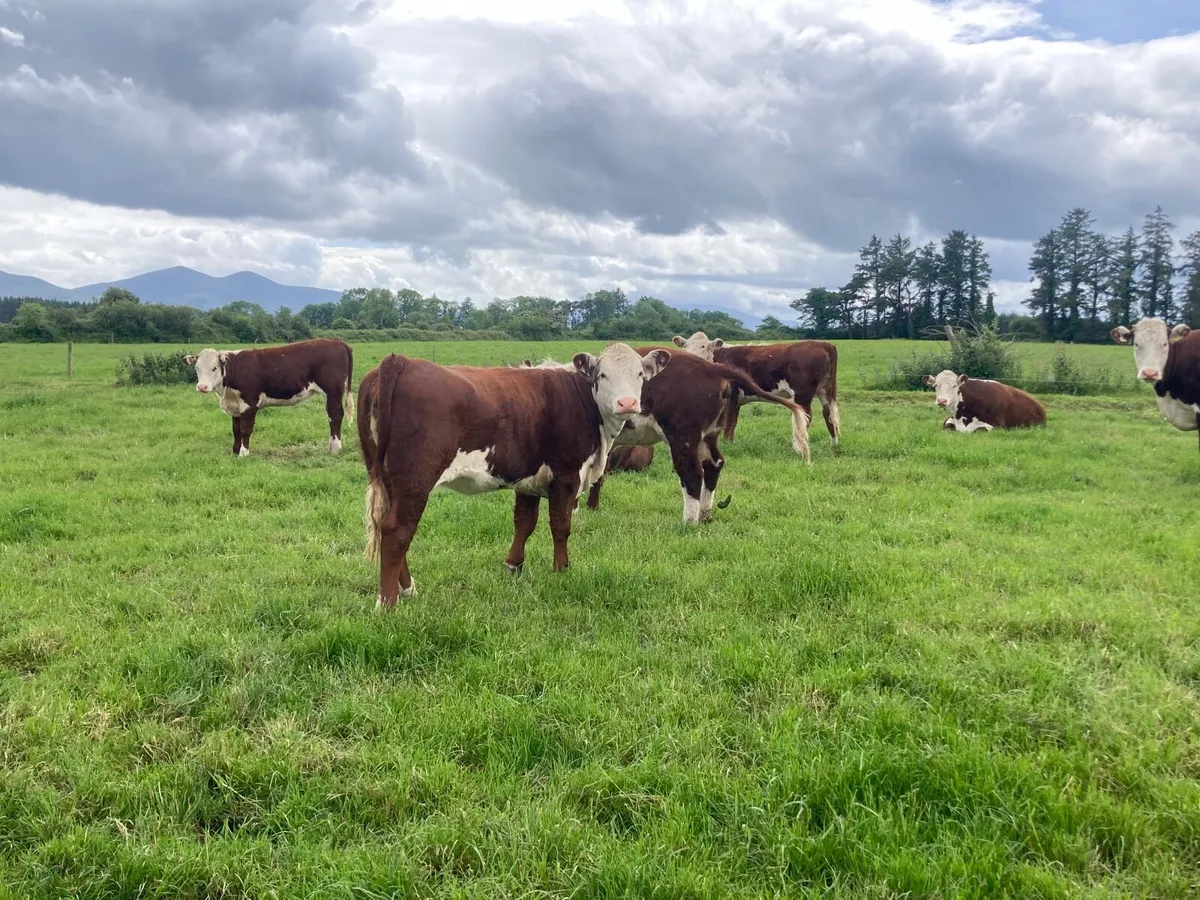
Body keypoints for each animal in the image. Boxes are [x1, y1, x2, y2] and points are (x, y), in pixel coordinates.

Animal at [185, 338, 354, 456]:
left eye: (214, 368)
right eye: (197, 368)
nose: (202, 387)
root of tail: (338, 342)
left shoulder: (249, 403)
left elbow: (245, 429)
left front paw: (244, 453)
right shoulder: (235, 406)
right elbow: (236, 430)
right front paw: (234, 451)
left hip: (333, 391)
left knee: (335, 416)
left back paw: (335, 449)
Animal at [358, 343, 670, 607]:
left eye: (640, 374)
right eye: (602, 374)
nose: (627, 403)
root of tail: (400, 361)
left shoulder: (528, 478)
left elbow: (524, 522)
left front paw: (514, 565)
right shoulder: (566, 475)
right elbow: (561, 526)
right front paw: (561, 570)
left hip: (387, 478)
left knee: (387, 525)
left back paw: (407, 588)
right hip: (415, 479)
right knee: (398, 530)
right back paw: (387, 602)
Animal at [577, 348, 807, 522]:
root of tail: (713, 368)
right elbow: (598, 476)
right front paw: (591, 508)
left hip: (683, 436)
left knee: (692, 473)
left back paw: (688, 522)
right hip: (709, 434)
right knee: (714, 464)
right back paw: (705, 515)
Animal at [671, 332, 840, 462]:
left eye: (703, 346)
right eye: (686, 346)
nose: (690, 357)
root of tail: (823, 344)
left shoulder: (732, 394)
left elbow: (728, 422)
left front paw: (726, 445)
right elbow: (732, 423)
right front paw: (730, 443)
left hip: (802, 394)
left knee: (806, 417)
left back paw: (798, 448)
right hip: (825, 390)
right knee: (828, 414)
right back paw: (833, 444)